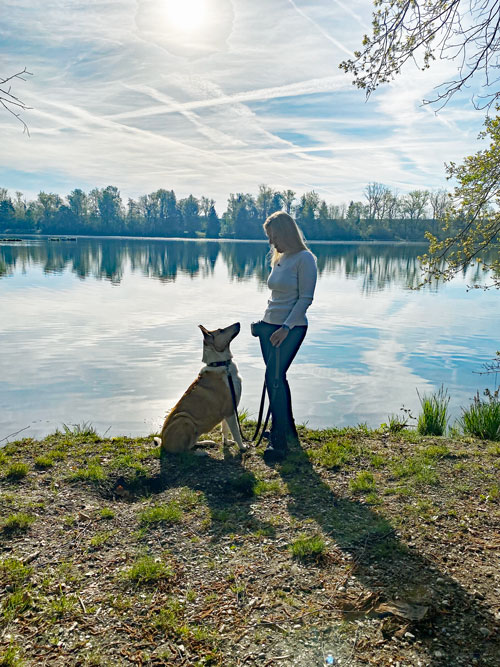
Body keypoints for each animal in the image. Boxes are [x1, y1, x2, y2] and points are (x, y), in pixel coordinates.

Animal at [152, 322, 246, 456]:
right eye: (221, 330)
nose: (238, 323)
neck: (220, 364)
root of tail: (163, 445)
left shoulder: (228, 411)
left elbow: (225, 430)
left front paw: (227, 443)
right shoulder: (230, 411)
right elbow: (236, 432)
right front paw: (242, 447)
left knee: (191, 445)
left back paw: (206, 442)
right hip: (185, 420)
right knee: (184, 451)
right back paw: (201, 453)